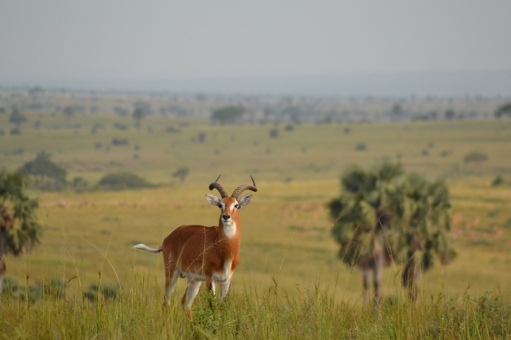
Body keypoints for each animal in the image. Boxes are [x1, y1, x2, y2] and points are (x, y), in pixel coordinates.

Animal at [134, 175, 258, 318]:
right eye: (221, 204)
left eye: (236, 205)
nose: (226, 216)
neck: (224, 251)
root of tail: (168, 238)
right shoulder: (210, 278)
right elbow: (212, 305)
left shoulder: (226, 280)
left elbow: (222, 307)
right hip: (172, 273)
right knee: (166, 302)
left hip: (194, 280)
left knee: (185, 303)